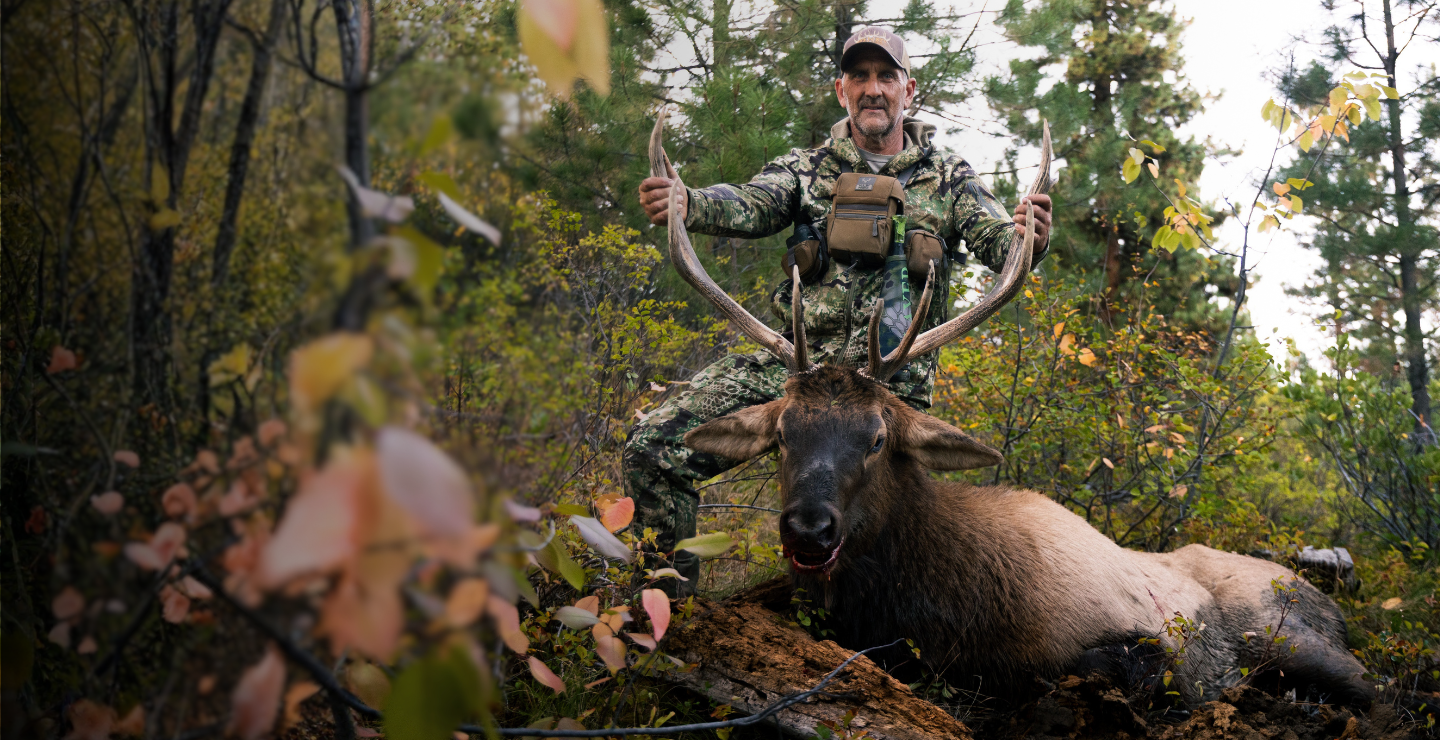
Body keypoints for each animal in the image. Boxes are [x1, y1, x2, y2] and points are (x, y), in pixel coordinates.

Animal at [648, 113, 1374, 708]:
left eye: (879, 437)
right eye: (781, 434)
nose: (808, 527)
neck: (929, 608)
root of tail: (1324, 596)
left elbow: (1118, 666)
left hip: (1294, 634)